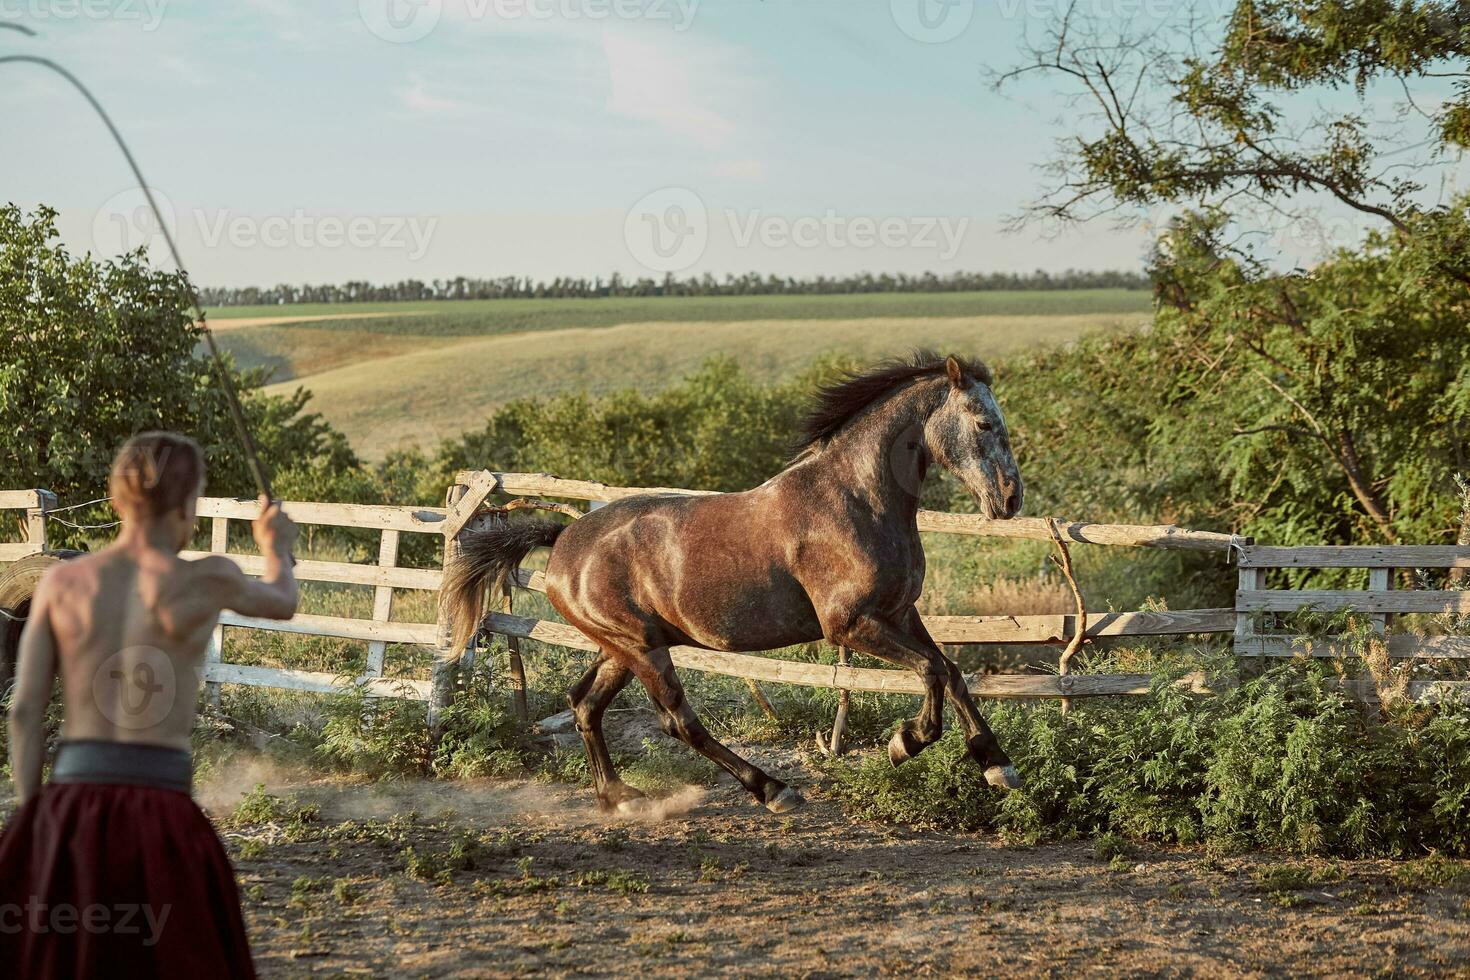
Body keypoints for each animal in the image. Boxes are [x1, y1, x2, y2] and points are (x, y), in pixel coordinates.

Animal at [441, 351, 1029, 811]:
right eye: (983, 422)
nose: (1010, 499)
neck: (854, 501)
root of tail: (562, 540)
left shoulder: (902, 611)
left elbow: (951, 671)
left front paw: (997, 767)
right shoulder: (850, 625)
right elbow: (931, 671)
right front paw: (906, 743)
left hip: (624, 647)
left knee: (585, 703)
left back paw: (621, 798)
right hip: (643, 649)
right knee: (679, 722)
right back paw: (773, 790)